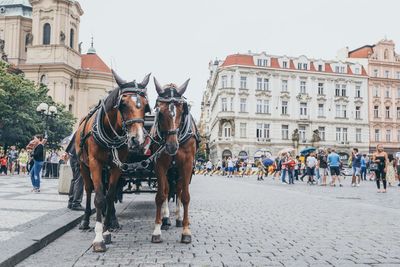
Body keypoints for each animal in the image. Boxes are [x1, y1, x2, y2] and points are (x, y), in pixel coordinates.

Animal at [74, 71, 150, 253]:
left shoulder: (116, 166)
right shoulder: (95, 163)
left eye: (145, 106)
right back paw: (85, 221)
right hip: (83, 165)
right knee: (89, 190)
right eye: (123, 104)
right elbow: (99, 198)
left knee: (111, 190)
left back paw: (114, 220)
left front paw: (107, 230)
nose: (138, 139)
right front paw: (98, 238)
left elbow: (109, 196)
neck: (110, 132)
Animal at [150, 77, 198, 245]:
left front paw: (186, 230)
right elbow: (161, 195)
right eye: (159, 111)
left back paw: (178, 218)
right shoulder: (159, 164)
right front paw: (157, 229)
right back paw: (165, 219)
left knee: (178, 189)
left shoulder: (187, 164)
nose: (172, 146)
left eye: (182, 110)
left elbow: (185, 196)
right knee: (167, 189)